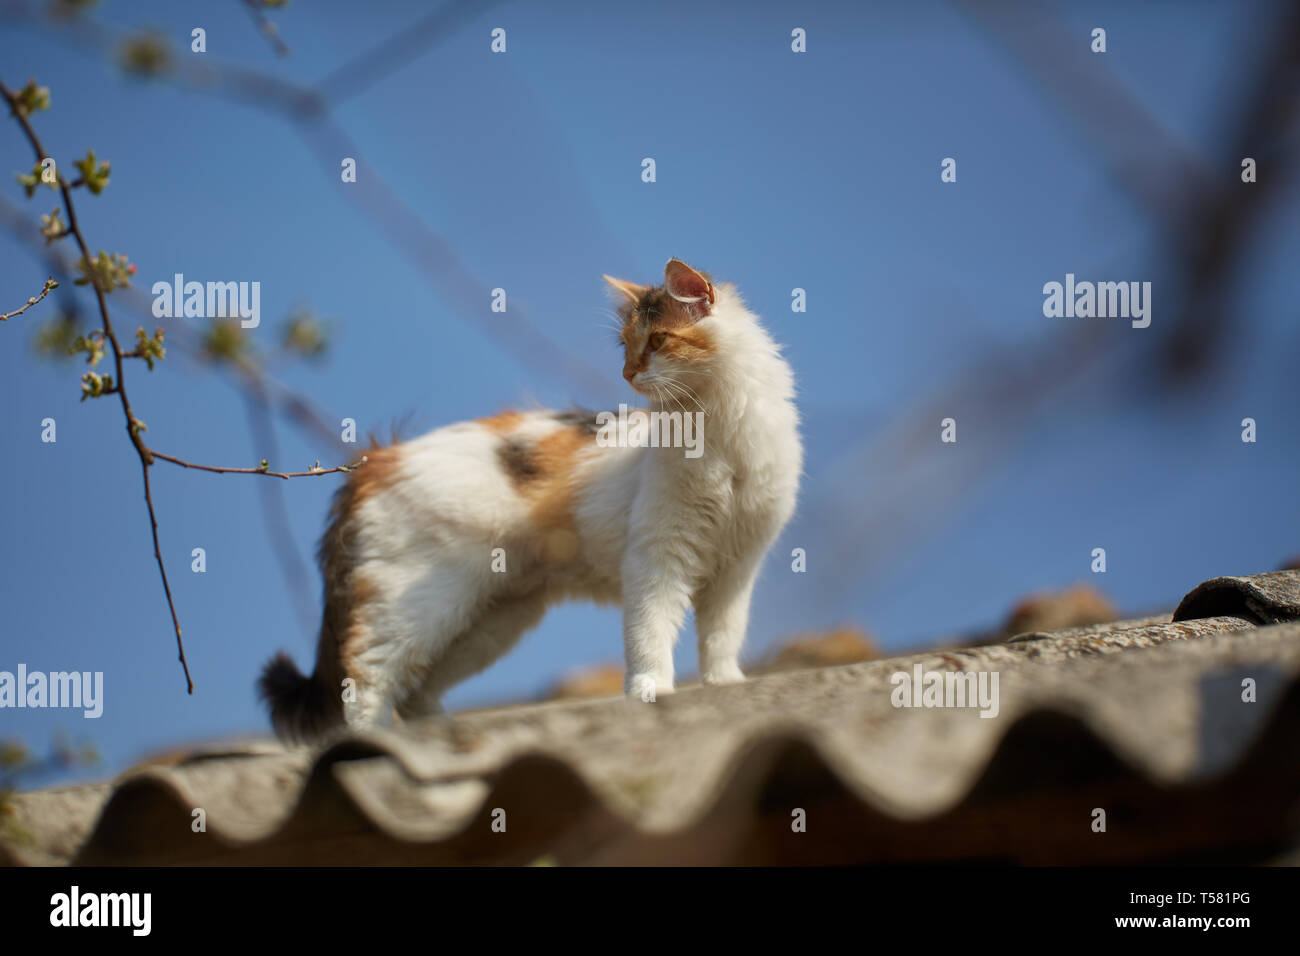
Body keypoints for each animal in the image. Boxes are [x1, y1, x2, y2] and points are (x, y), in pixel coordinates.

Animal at [257, 260, 795, 738]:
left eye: (658, 341)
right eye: (625, 347)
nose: (627, 374)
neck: (718, 439)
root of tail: (377, 456)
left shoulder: (737, 567)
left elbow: (723, 635)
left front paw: (725, 684)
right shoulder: (656, 558)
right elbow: (651, 632)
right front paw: (651, 690)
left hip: (487, 618)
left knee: (413, 690)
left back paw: (441, 733)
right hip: (418, 601)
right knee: (367, 676)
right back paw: (374, 742)